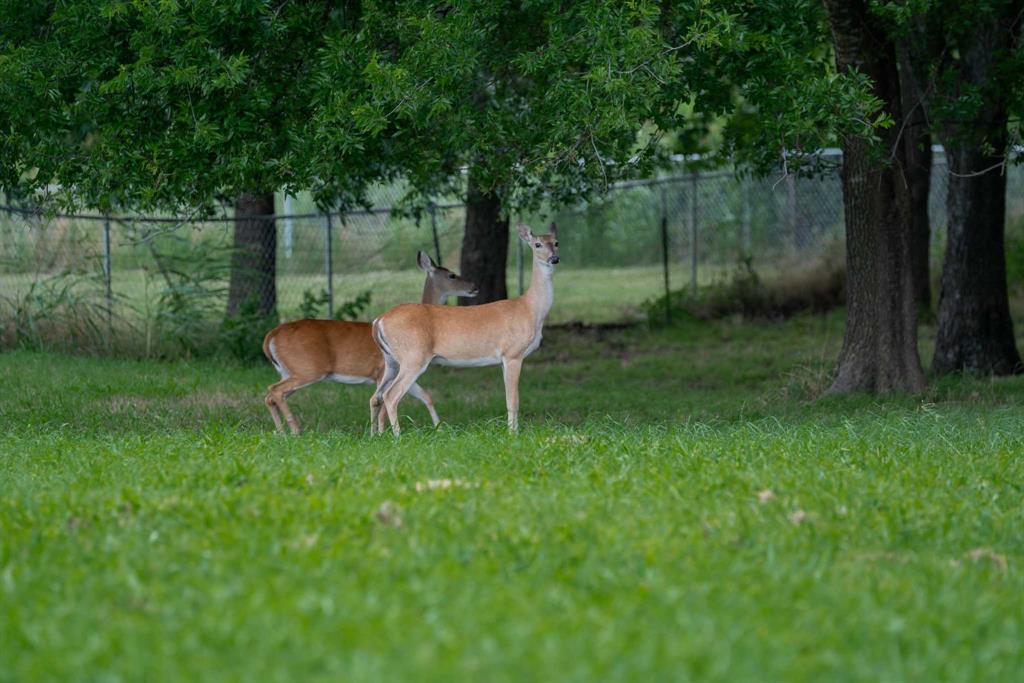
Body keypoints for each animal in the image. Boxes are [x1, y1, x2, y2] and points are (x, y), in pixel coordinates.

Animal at [260, 250, 475, 432]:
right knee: (275, 391)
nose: (474, 287)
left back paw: (282, 432)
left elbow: (426, 396)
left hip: (288, 370)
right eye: (452, 275)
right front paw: (380, 432)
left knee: (271, 396)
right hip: (308, 369)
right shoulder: (383, 371)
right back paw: (295, 431)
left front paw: (438, 428)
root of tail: (270, 336)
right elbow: (384, 402)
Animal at [370, 224, 561, 438]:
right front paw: (514, 435)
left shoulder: (503, 359)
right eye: (537, 244)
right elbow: (513, 400)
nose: (554, 258)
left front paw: (511, 431)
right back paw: (398, 436)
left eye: (556, 242)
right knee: (391, 395)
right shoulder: (513, 353)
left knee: (377, 395)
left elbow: (508, 398)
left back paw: (377, 435)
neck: (530, 309)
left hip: (391, 361)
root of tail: (379, 320)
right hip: (413, 356)